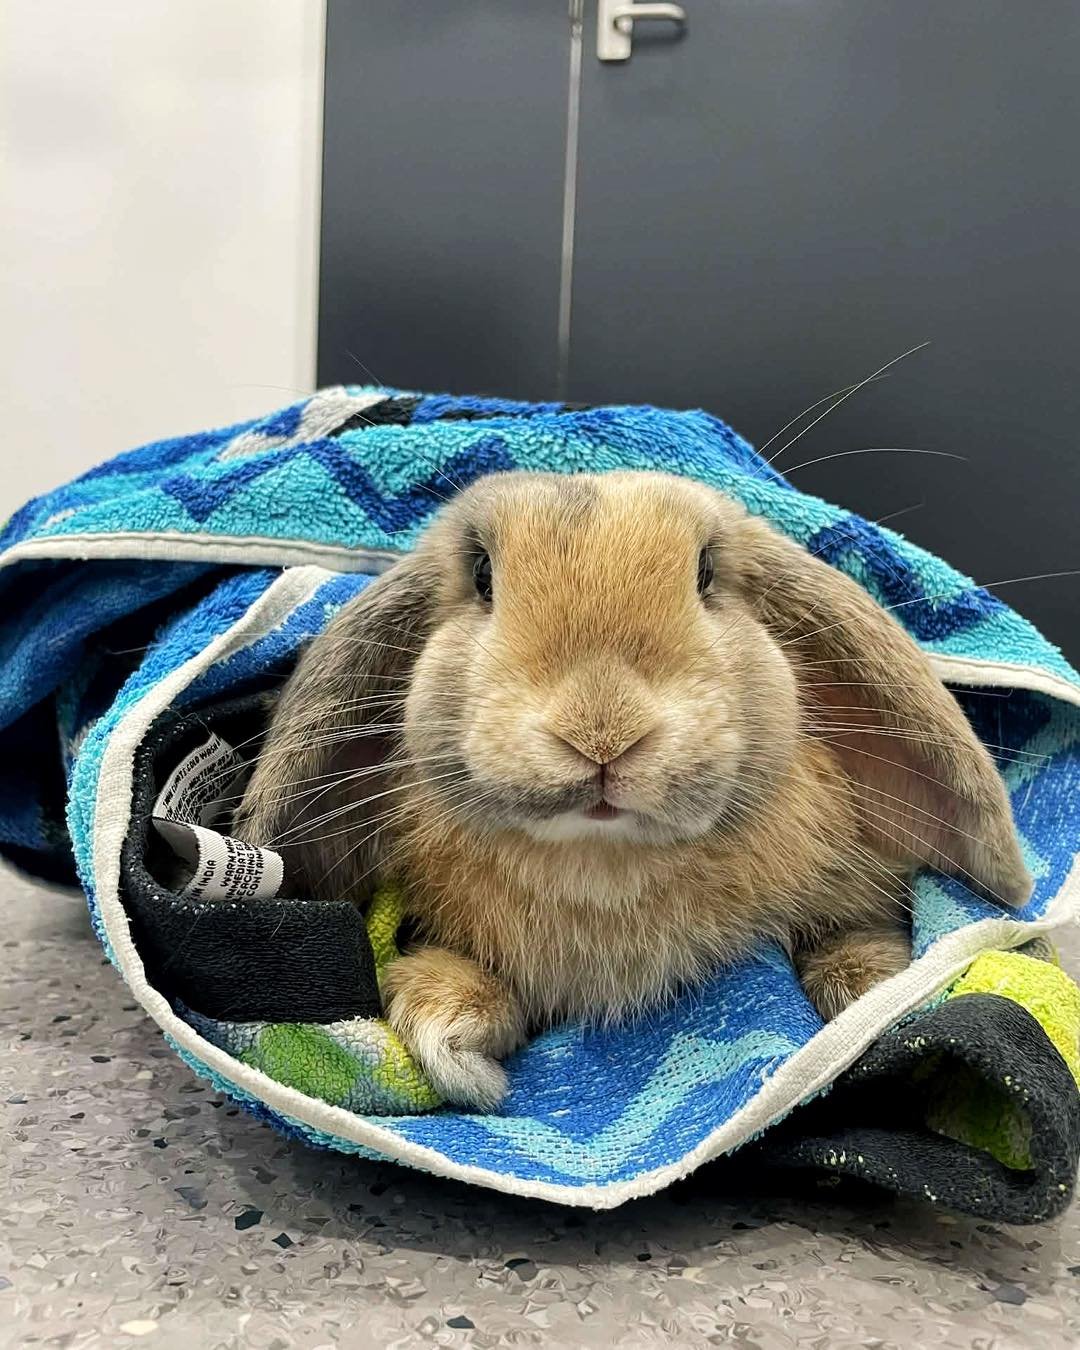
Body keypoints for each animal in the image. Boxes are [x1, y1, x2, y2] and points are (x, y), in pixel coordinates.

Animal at [233, 470, 1032, 1110]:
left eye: (705, 571)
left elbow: (852, 952)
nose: (601, 732)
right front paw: (451, 1041)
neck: (604, 866)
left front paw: (879, 997)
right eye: (483, 575)